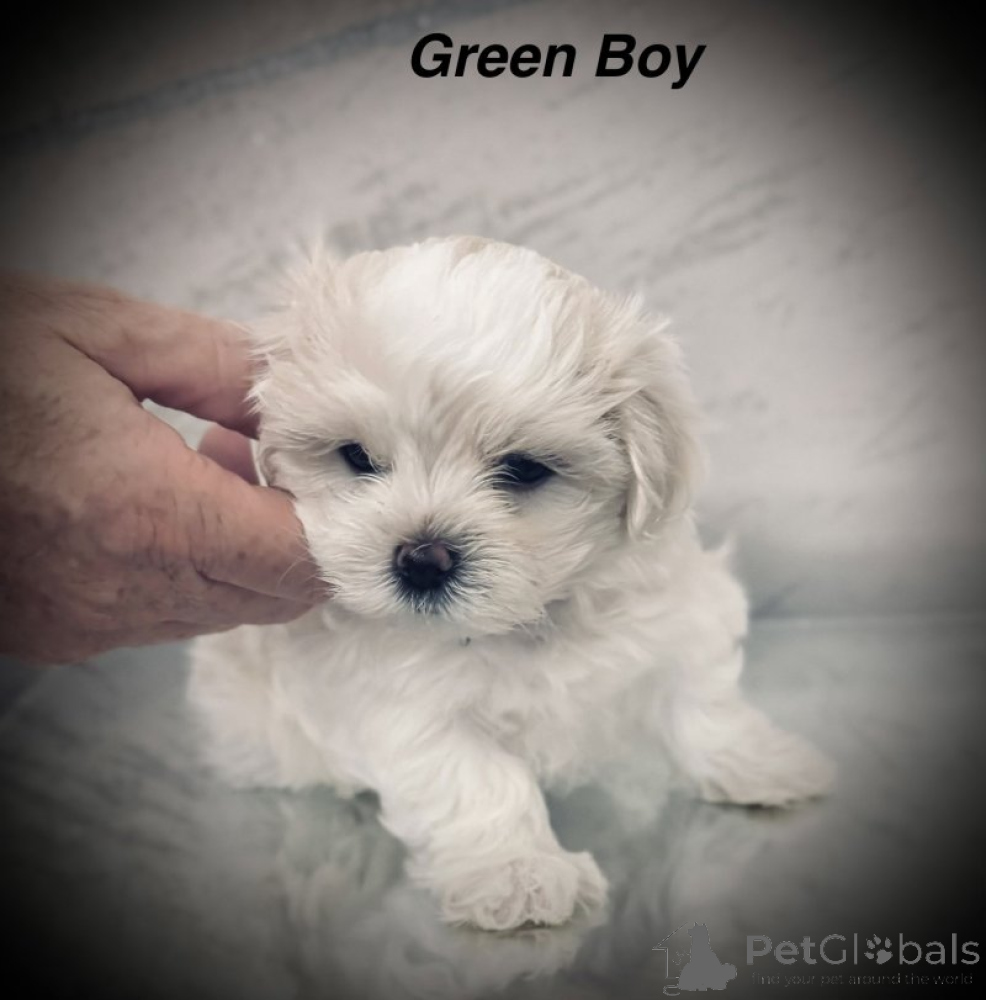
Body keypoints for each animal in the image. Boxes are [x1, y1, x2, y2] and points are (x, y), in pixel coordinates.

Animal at [189, 236, 833, 931]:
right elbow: (477, 778)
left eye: (523, 469)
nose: (422, 559)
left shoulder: (679, 614)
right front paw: (517, 871)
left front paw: (764, 766)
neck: (526, 620)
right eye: (357, 457)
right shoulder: (400, 703)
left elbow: (705, 703)